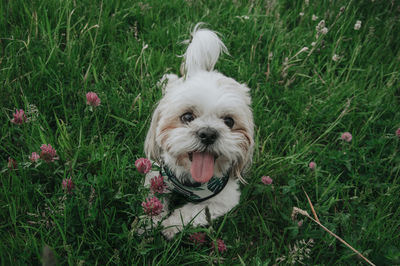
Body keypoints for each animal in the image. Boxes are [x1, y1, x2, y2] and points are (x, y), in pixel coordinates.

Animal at [142, 22, 253, 239]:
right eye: (187, 117)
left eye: (229, 121)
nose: (208, 133)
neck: (192, 182)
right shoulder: (156, 175)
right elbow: (154, 196)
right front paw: (148, 221)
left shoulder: (223, 199)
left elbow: (191, 212)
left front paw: (169, 226)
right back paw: (166, 80)